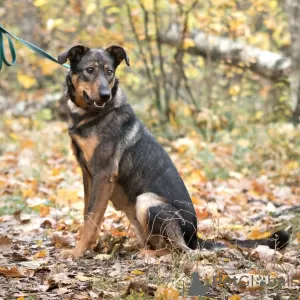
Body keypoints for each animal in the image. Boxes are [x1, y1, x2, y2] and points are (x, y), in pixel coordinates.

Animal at [56, 44, 288, 260]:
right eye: (90, 70)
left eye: (109, 71)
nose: (105, 95)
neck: (88, 114)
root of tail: (195, 237)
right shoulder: (88, 174)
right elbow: (88, 214)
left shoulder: (104, 174)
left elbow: (91, 218)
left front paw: (76, 253)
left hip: (147, 201)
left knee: (181, 251)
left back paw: (146, 255)